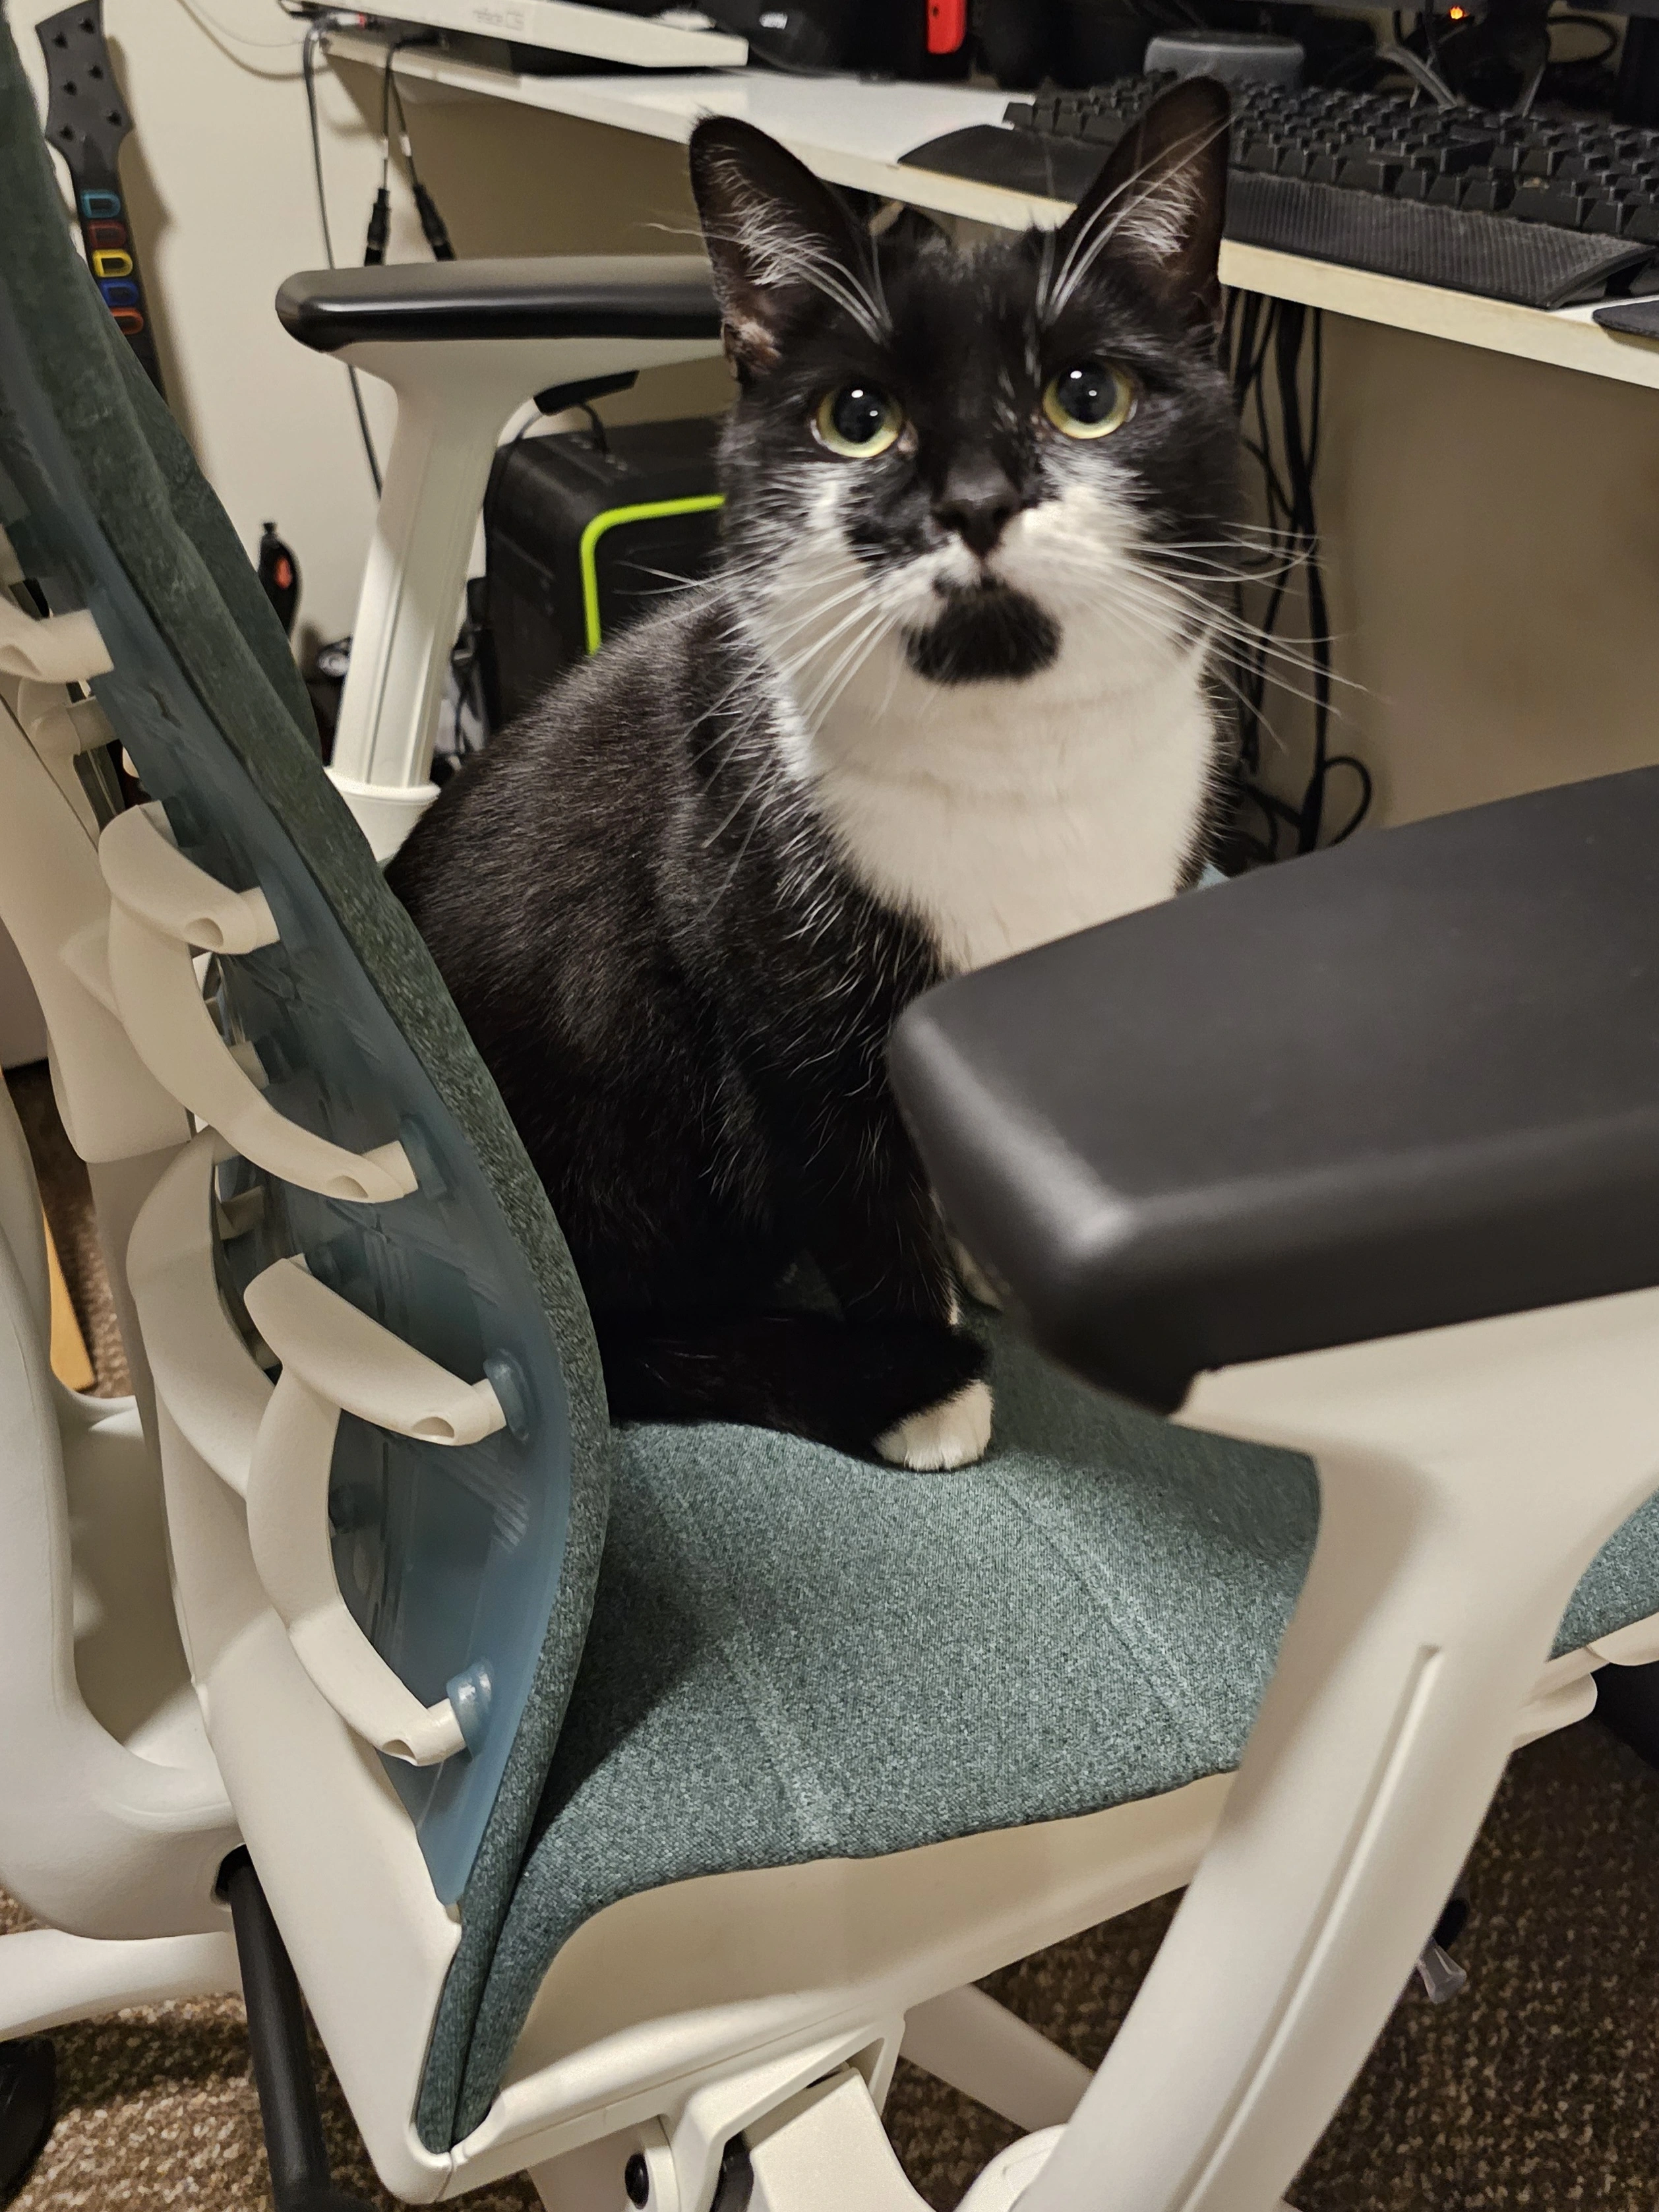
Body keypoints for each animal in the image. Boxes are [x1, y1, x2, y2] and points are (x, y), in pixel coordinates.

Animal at [394, 82, 1248, 1469]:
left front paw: (987, 1253)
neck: (1017, 760)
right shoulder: (772, 998)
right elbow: (862, 1197)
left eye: (1088, 395)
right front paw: (930, 1376)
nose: (976, 498)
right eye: (857, 419)